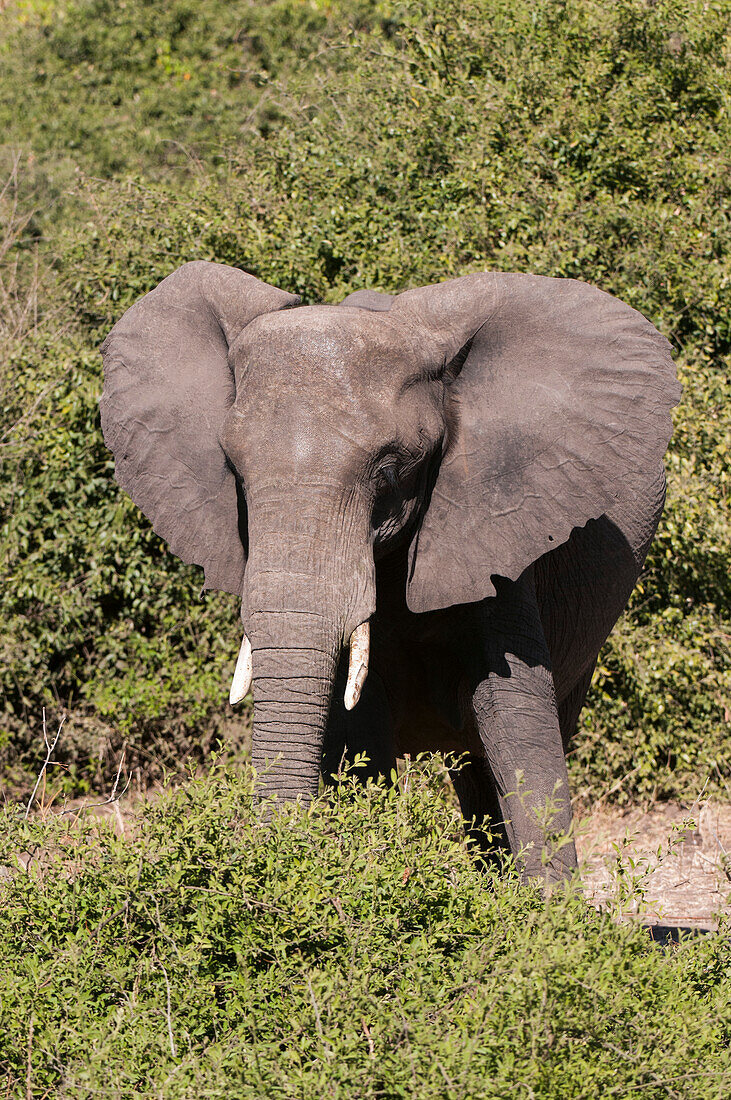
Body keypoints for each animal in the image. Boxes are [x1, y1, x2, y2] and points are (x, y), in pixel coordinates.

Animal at [100, 261, 681, 880]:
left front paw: (551, 908)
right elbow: (361, 727)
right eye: (233, 469)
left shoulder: (497, 518)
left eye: (390, 469)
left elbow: (515, 713)